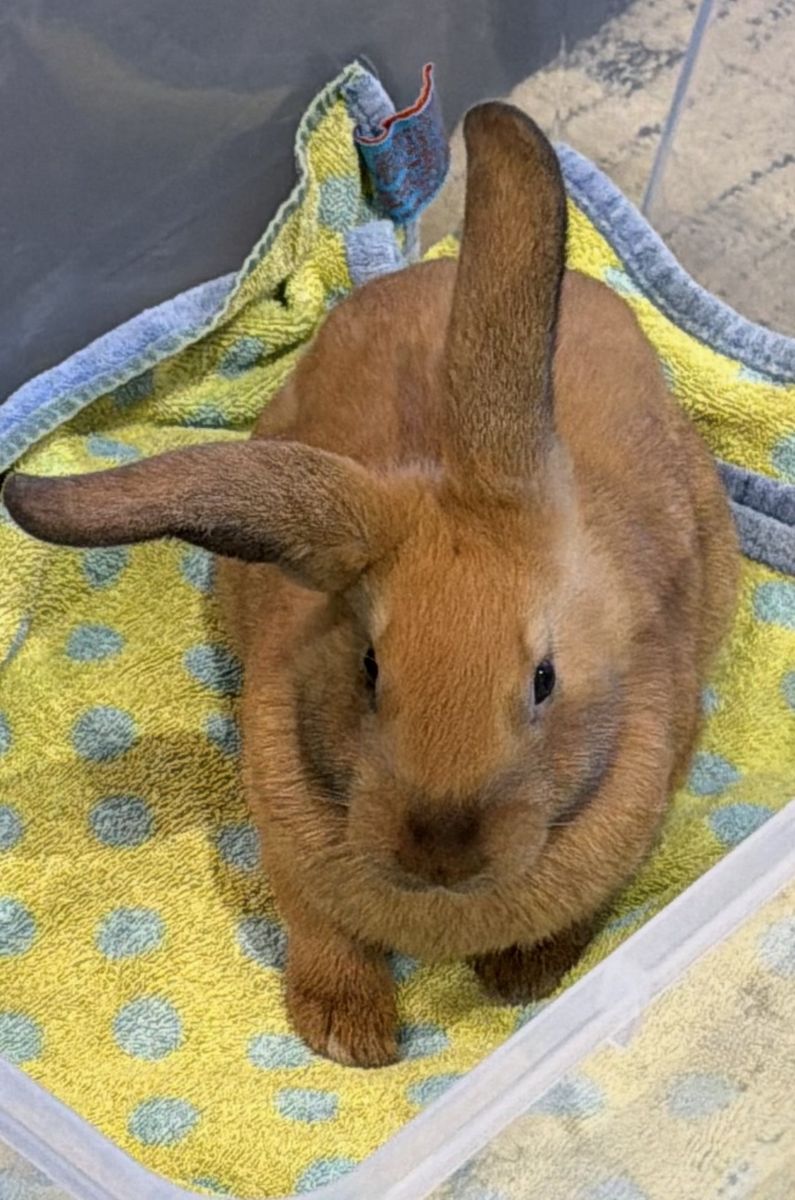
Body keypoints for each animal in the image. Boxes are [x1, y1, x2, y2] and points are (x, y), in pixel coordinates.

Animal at [3, 103, 739, 1068]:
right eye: (369, 669)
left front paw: (519, 981)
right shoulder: (288, 851)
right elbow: (321, 930)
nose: (440, 855)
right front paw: (349, 1039)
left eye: (543, 680)